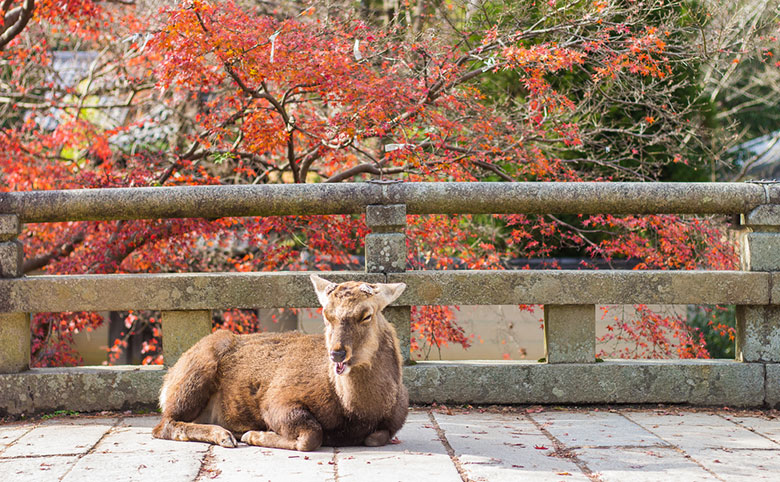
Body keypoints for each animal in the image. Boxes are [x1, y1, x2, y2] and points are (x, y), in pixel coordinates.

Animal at [151, 274, 408, 452]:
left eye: (367, 315)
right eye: (326, 314)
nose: (336, 353)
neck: (356, 412)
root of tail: (166, 382)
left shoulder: (395, 421)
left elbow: (376, 437)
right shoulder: (276, 398)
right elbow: (311, 436)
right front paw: (253, 435)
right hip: (193, 376)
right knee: (163, 425)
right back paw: (224, 435)